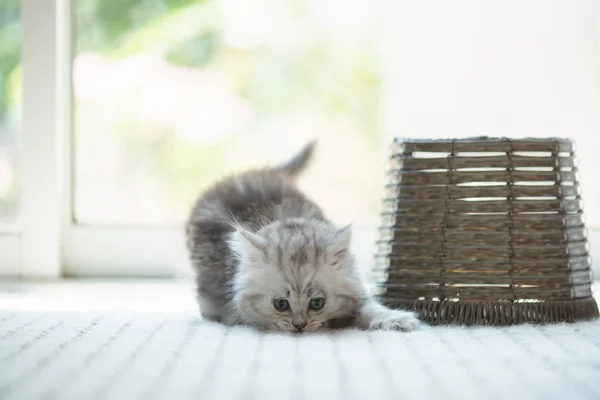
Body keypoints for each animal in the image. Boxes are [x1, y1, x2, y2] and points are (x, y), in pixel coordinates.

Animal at [185, 142, 420, 332]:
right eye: (281, 304)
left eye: (317, 303)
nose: (300, 325)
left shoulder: (357, 291)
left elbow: (370, 307)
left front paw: (397, 319)